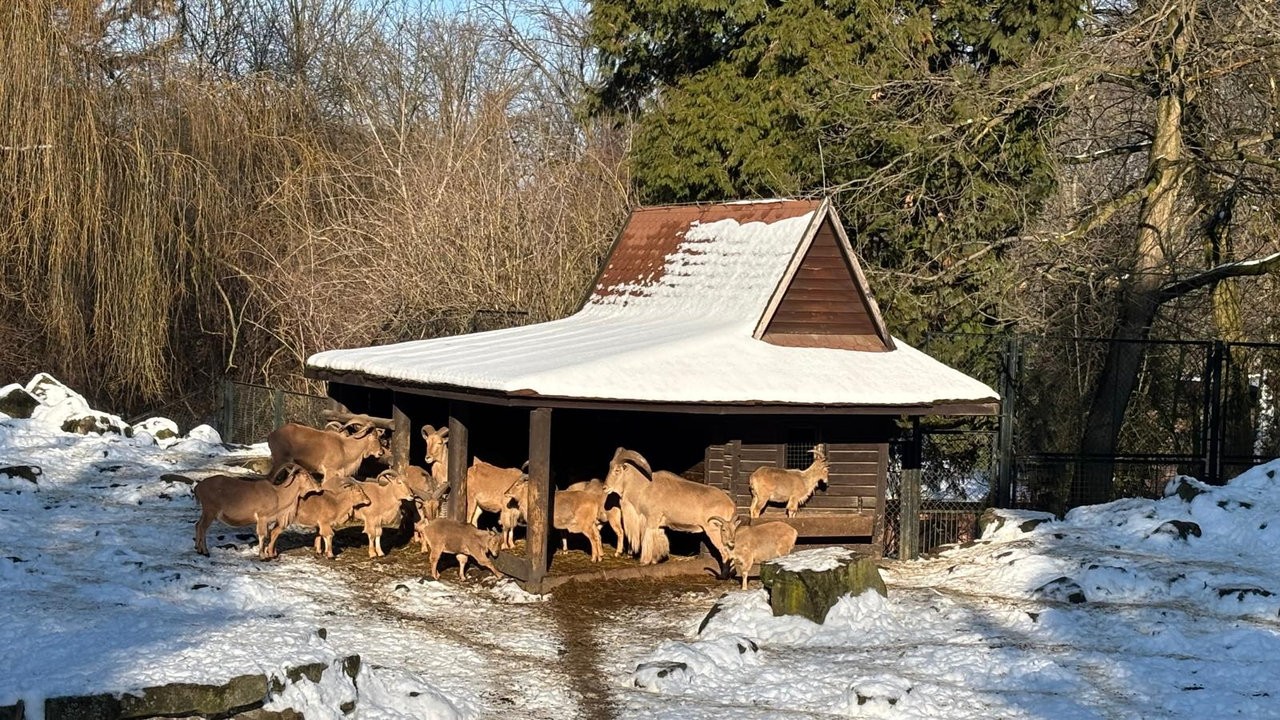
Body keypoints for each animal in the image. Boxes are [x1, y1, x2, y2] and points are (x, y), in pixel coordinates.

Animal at [193, 465, 323, 559]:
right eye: (306, 476)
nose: (319, 487)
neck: (278, 495)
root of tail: (198, 487)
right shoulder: (262, 517)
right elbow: (262, 534)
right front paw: (263, 555)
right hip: (210, 511)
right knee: (202, 527)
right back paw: (205, 551)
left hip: (206, 512)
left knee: (197, 524)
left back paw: (198, 549)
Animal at [602, 447, 736, 572]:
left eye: (617, 470)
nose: (605, 488)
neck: (644, 487)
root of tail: (731, 505)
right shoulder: (660, 525)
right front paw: (655, 560)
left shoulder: (651, 520)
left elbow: (647, 540)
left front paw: (645, 561)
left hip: (716, 532)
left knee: (726, 554)